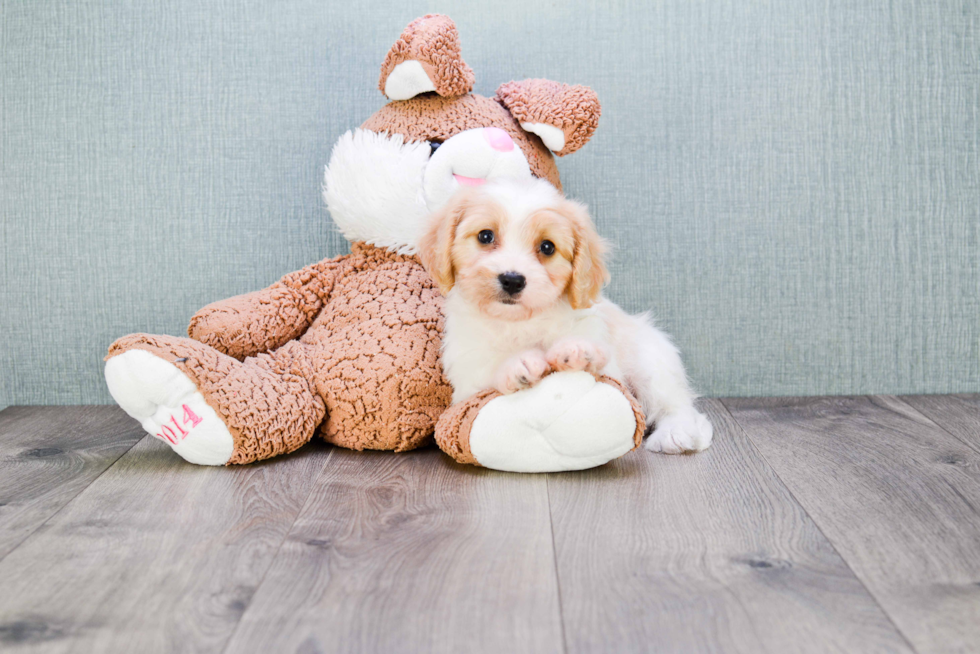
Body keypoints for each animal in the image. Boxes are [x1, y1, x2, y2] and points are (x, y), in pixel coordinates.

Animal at [420, 177, 712, 454]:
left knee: (678, 405)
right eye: (485, 236)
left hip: (650, 362)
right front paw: (518, 363)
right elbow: (487, 368)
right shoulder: (466, 374)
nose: (512, 279)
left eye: (547, 247)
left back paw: (675, 433)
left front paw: (578, 350)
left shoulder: (609, 364)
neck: (520, 322)